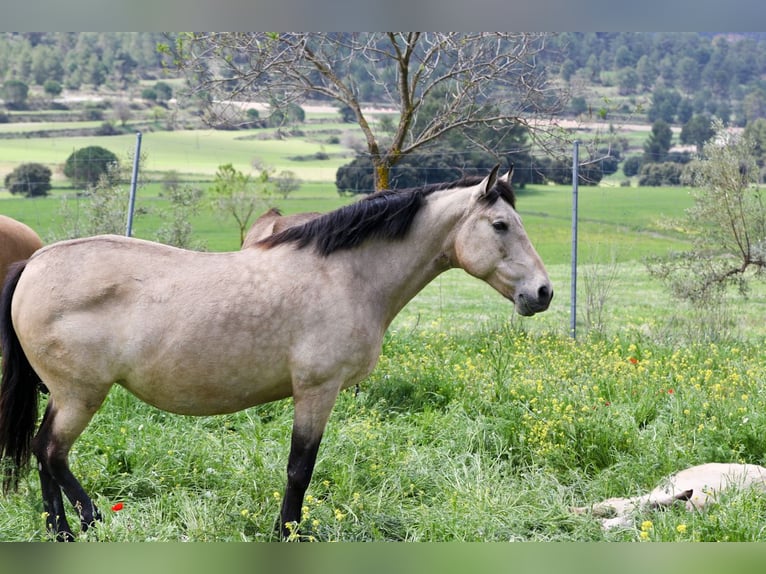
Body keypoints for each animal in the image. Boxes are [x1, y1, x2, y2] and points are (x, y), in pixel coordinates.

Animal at [0, 164, 552, 544]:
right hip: (80, 395)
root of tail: (35, 262)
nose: (542, 292)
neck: (345, 276)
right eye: (500, 225)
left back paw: (67, 529)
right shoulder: (316, 391)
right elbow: (299, 469)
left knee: (44, 453)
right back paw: (84, 523)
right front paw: (288, 532)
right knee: (50, 451)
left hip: (67, 396)